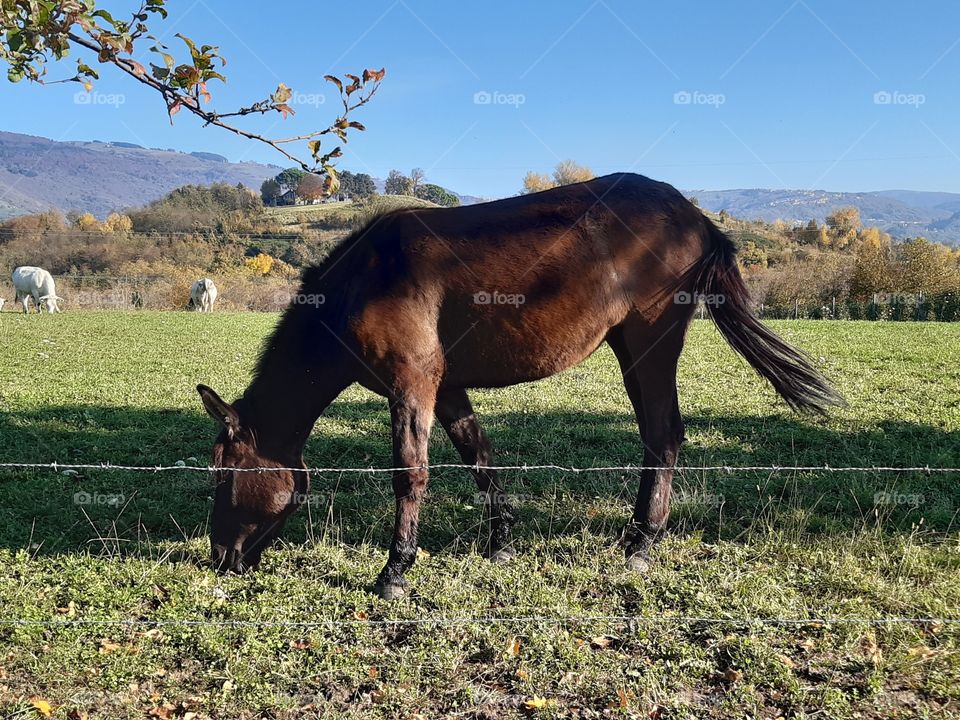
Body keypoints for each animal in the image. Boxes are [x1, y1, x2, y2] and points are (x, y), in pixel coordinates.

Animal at [197, 172, 841, 599]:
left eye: (223, 478)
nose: (221, 559)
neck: (365, 281)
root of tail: (695, 215)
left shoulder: (412, 385)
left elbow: (411, 473)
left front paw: (395, 570)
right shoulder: (445, 389)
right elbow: (478, 455)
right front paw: (501, 540)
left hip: (650, 347)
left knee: (664, 437)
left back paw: (641, 545)